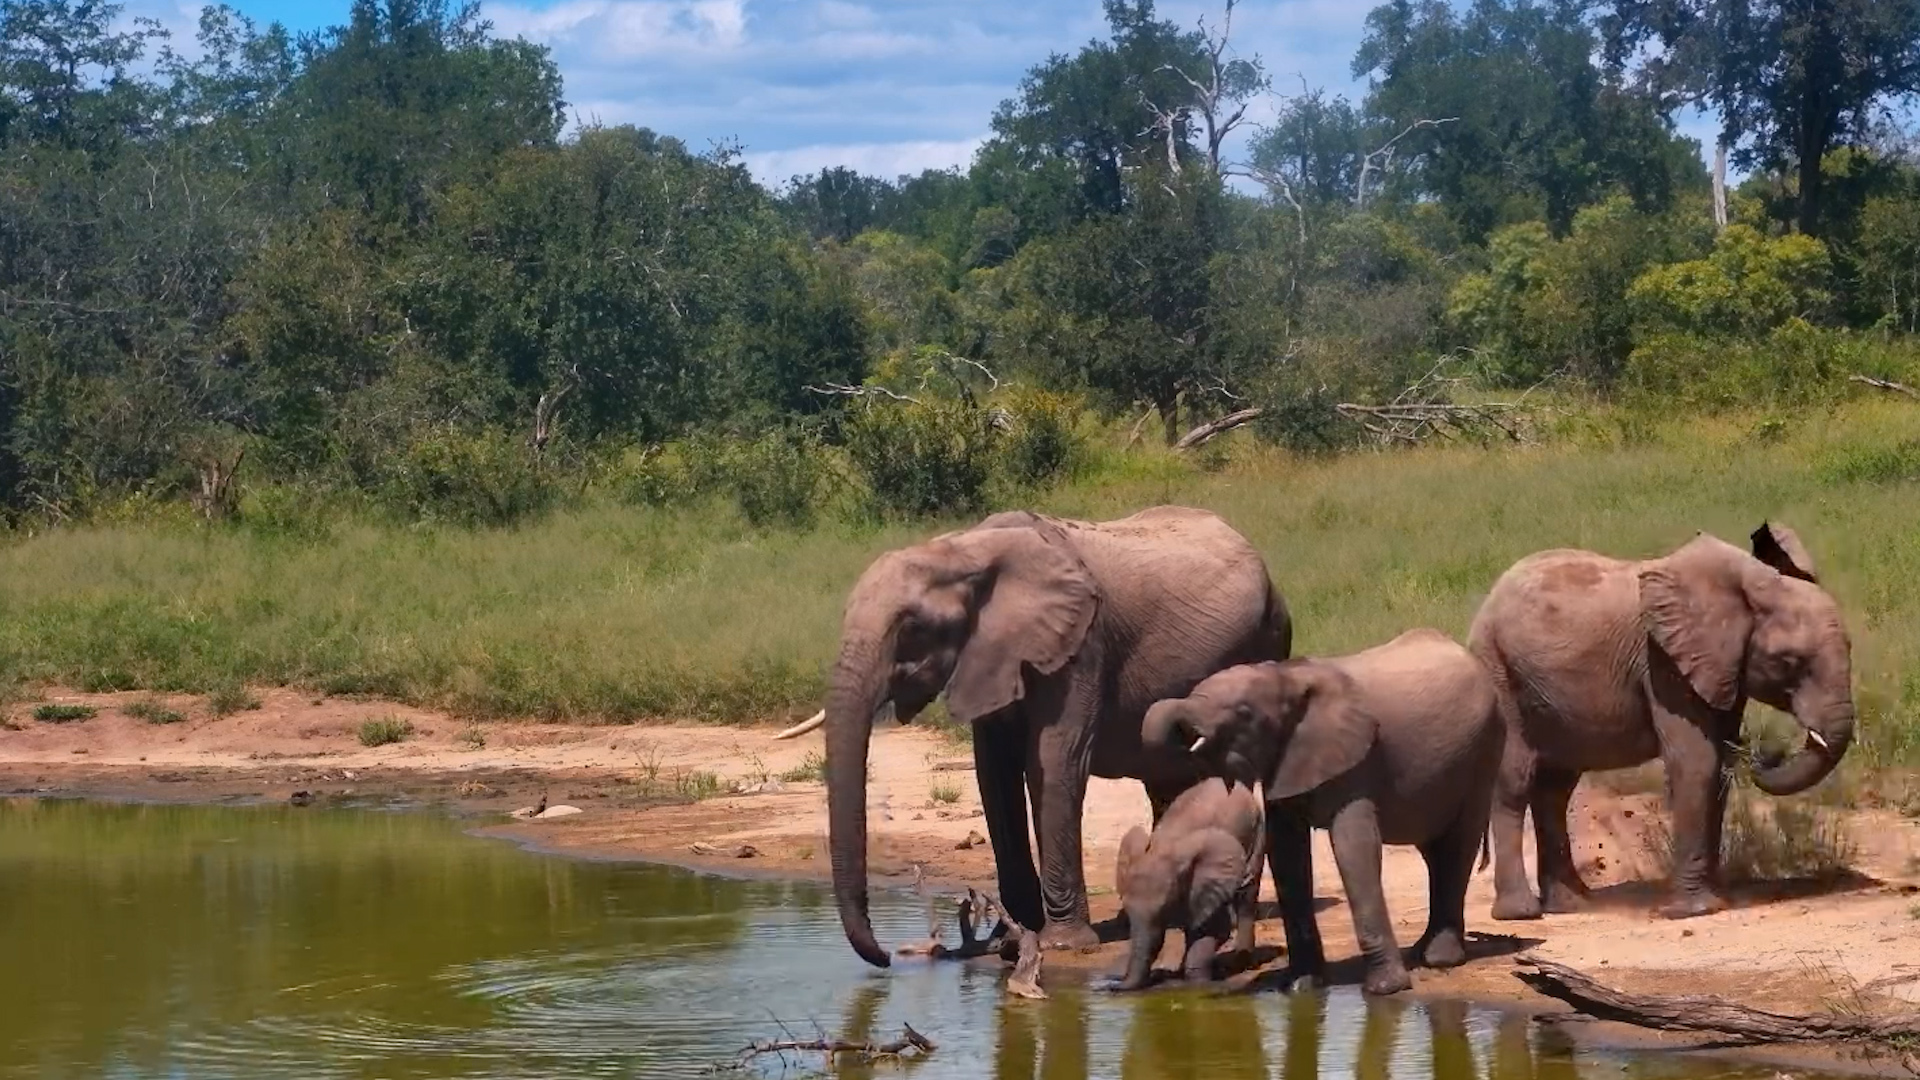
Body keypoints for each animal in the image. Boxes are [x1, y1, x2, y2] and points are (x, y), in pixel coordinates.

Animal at [822, 506, 1291, 968]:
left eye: (912, 629)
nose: (884, 957)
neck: (965, 551)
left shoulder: (1081, 647)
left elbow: (1052, 759)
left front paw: (1062, 943)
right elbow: (994, 772)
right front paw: (1010, 940)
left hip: (1265, 642)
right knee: (1167, 784)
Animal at [1113, 775, 1266, 990]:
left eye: (1164, 907)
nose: (1113, 984)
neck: (1162, 846)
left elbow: (1214, 928)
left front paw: (1197, 983)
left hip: (1258, 829)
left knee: (1247, 892)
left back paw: (1242, 963)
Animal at [1143, 629, 1504, 995]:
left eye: (1244, 713)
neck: (1286, 677)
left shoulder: (1356, 761)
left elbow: (1353, 848)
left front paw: (1385, 989)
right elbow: (1286, 854)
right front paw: (1300, 987)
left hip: (1484, 749)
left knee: (1457, 846)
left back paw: (1440, 959)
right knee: (1434, 853)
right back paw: (1421, 952)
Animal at [1470, 522, 1855, 922]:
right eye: (1788, 661)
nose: (1767, 753)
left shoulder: (1720, 666)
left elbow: (1719, 767)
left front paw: (1717, 898)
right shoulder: (1662, 663)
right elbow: (1697, 763)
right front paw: (1696, 910)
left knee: (1554, 790)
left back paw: (1572, 905)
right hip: (1498, 670)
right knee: (1514, 782)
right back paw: (1521, 913)